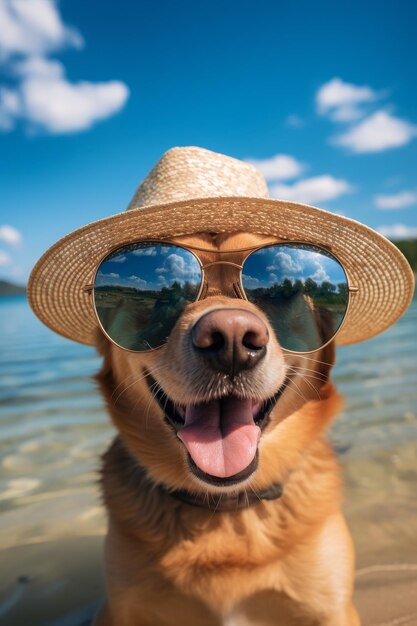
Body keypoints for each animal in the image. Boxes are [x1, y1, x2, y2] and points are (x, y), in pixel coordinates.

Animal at [92, 230, 360, 626]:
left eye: (279, 292)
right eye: (164, 293)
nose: (231, 339)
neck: (226, 510)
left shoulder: (332, 609)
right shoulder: (120, 610)